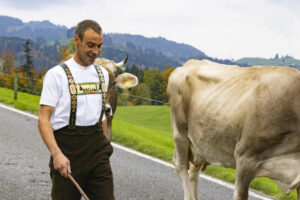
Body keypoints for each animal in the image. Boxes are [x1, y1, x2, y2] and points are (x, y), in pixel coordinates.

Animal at [168, 59, 300, 200]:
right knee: (180, 165)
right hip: (180, 132)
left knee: (194, 169)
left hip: (199, 143)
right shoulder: (245, 158)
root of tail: (189, 63)